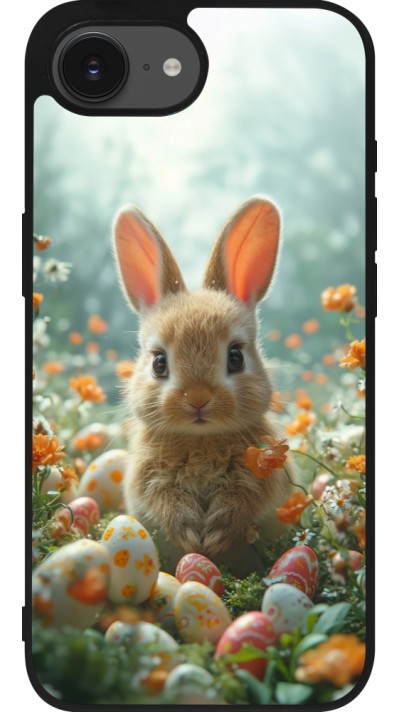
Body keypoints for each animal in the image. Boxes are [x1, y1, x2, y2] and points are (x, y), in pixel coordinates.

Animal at [113, 196, 293, 574]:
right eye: (159, 363)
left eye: (235, 357)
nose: (197, 399)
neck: (200, 438)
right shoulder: (148, 478)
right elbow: (164, 500)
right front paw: (191, 535)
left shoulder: (262, 474)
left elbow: (244, 499)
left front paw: (215, 535)